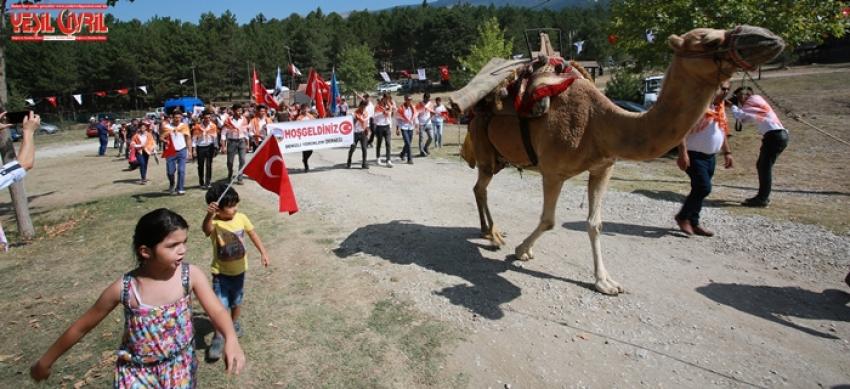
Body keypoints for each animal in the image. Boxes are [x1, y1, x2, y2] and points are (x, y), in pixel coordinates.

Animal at [450, 25, 780, 292]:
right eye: (709, 40)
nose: (770, 38)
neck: (600, 122)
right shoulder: (553, 171)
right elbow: (549, 219)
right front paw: (521, 250)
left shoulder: (603, 168)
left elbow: (595, 223)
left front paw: (605, 282)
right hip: (485, 149)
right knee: (480, 187)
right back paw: (494, 235)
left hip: (500, 156)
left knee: (480, 188)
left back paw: (489, 231)